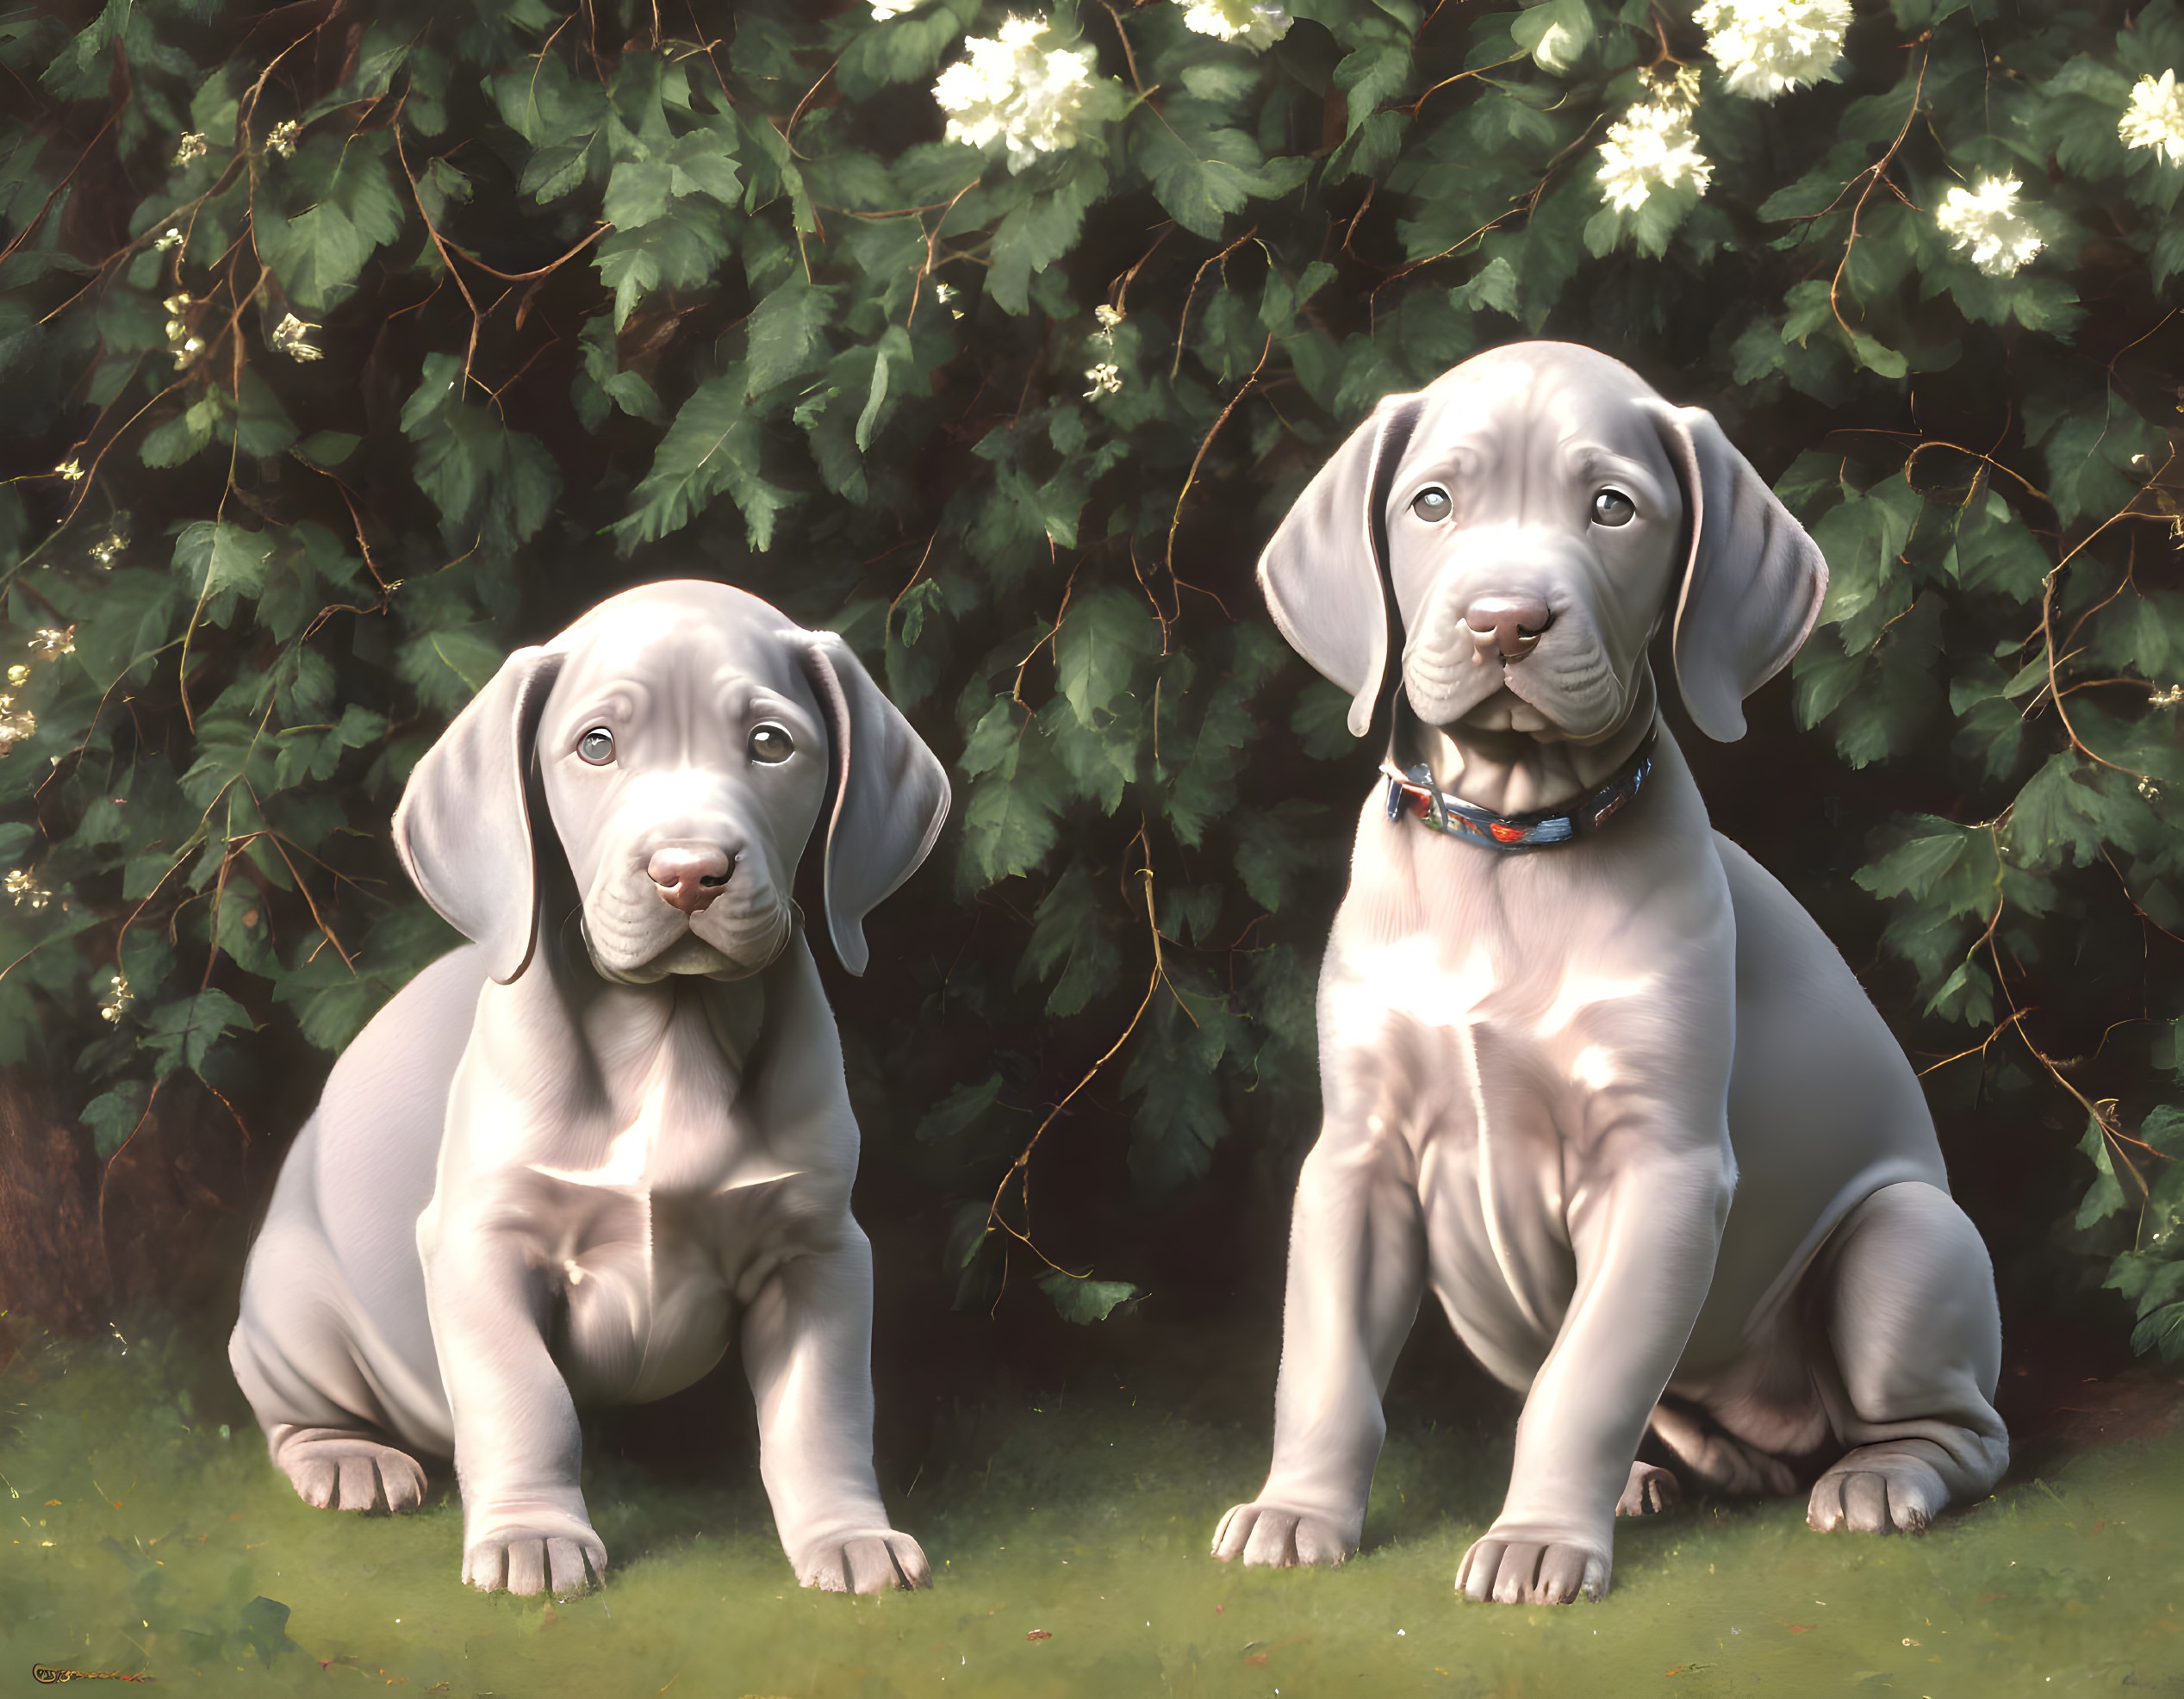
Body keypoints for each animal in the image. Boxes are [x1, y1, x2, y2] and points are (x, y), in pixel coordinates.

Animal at [230, 581, 948, 1590]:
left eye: (771, 743)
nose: (688, 874)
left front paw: (846, 1535)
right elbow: (522, 1395)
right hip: (296, 1306)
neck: (669, 1040)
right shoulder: (481, 1243)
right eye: (596, 746)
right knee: (285, 1407)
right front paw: (531, 1534)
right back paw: (348, 1457)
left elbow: (823, 1409)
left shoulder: (819, 1249)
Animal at [1214, 340, 2009, 1598]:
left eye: (1611, 509)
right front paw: (1297, 1511)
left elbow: (1583, 1381)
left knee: (1961, 1428)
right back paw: (1651, 1479)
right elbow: (1325, 1359)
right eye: (1430, 504)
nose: (1504, 622)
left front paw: (1538, 1541)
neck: (1508, 846)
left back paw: (1879, 1482)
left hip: (1904, 1244)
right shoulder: (1355, 1156)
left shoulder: (1662, 1167)